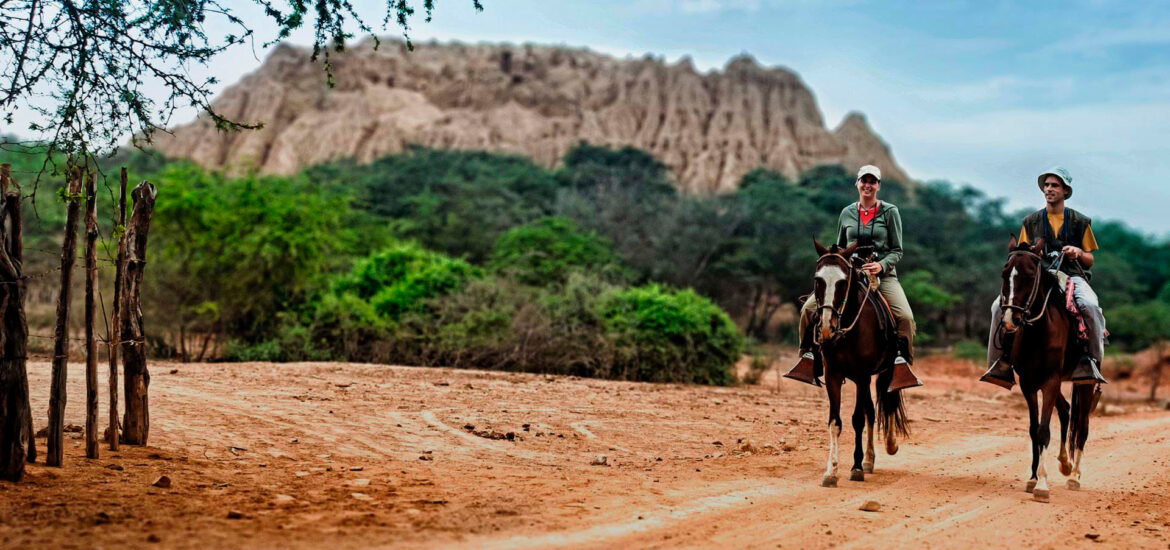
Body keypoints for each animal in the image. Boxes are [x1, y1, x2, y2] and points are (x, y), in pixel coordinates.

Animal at [809, 239, 907, 484]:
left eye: (843, 282)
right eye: (818, 280)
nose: (827, 328)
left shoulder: (863, 376)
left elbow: (857, 420)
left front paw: (855, 468)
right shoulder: (833, 375)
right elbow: (835, 422)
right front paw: (831, 471)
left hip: (886, 371)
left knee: (888, 401)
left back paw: (889, 446)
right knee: (871, 411)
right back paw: (869, 460)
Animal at [996, 236, 1095, 503]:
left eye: (1030, 275)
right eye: (1005, 273)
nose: (1010, 320)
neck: (1038, 332)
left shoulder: (1050, 381)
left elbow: (1043, 430)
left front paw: (1041, 485)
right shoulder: (1029, 383)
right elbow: (1033, 430)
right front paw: (1032, 478)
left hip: (1084, 383)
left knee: (1082, 426)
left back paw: (1075, 476)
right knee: (1066, 410)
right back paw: (1064, 463)